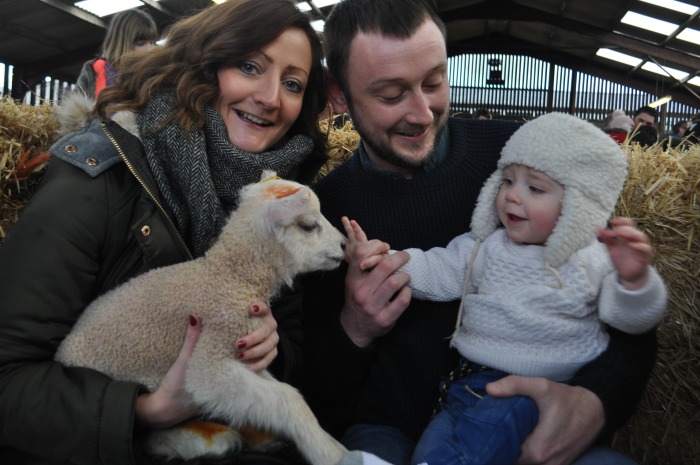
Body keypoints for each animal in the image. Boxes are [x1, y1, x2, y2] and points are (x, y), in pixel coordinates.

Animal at [53, 172, 348, 464]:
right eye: (309, 226)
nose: (345, 244)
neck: (231, 277)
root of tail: (61, 353)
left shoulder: (240, 348)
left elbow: (274, 391)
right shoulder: (210, 356)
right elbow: (287, 397)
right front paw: (331, 451)